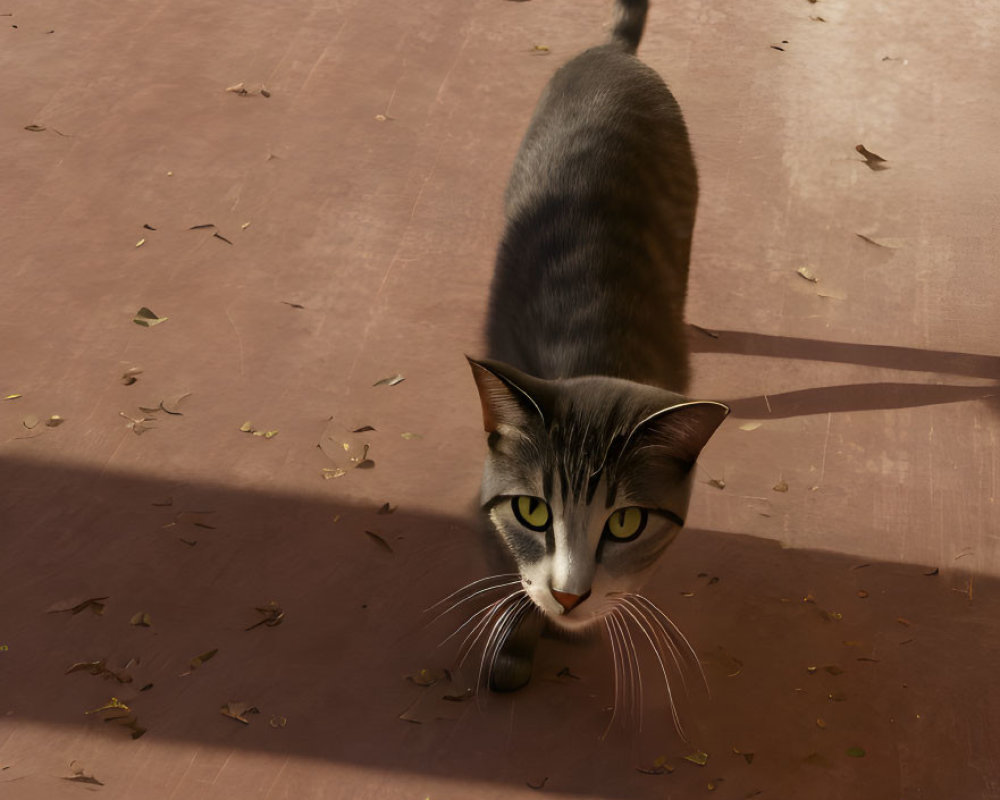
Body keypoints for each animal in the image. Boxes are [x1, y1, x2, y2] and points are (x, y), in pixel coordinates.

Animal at [460, 0, 728, 712]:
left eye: (627, 523)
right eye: (532, 511)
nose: (570, 595)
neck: (592, 346)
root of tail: (614, 54)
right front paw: (521, 634)